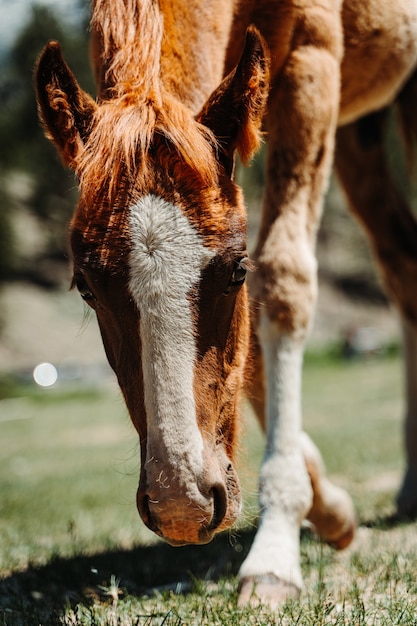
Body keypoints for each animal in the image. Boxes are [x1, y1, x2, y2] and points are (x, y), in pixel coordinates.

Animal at [34, 0, 416, 608]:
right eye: (86, 287)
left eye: (237, 270)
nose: (181, 505)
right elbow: (250, 343)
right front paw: (331, 512)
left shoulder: (311, 63)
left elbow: (283, 283)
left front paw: (276, 552)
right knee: (404, 269)